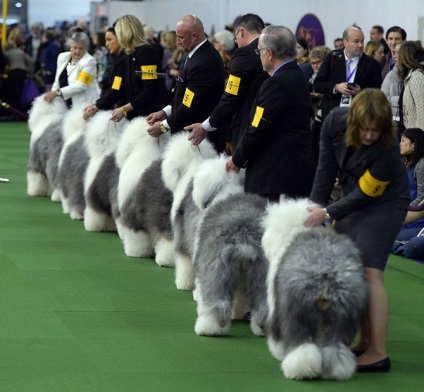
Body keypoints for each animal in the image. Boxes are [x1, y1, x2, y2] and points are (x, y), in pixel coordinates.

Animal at [262, 199, 368, 380]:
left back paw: (302, 369)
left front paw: (278, 351)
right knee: (335, 347)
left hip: (298, 311)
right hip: (341, 313)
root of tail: (325, 270)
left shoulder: (277, 307)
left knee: (302, 343)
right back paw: (335, 371)